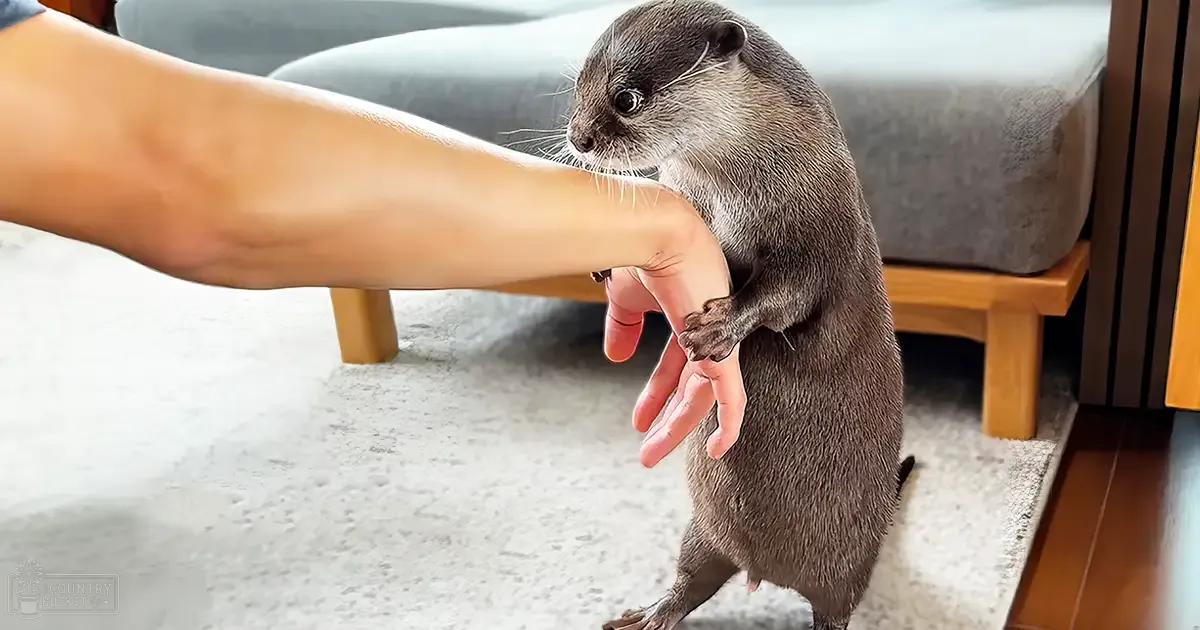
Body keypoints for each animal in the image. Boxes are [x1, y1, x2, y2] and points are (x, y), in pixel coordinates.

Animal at [564, 1, 915, 629]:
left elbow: (788, 293)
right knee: (692, 579)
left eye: (627, 97)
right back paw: (647, 615)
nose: (578, 137)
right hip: (704, 532)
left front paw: (720, 327)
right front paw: (619, 265)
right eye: (578, 85)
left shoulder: (819, 231)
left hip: (850, 563)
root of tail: (765, 570)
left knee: (836, 603)